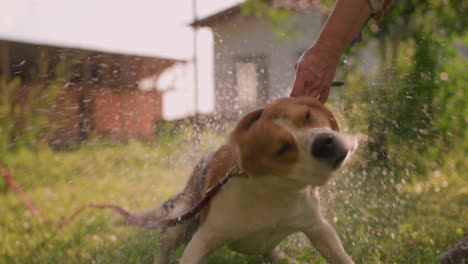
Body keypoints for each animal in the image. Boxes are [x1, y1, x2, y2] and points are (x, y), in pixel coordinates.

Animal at [132, 97, 358, 264]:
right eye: (282, 149)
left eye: (307, 115)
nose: (324, 143)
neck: (273, 191)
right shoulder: (203, 239)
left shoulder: (318, 228)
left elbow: (340, 256)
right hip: (179, 221)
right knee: (164, 249)